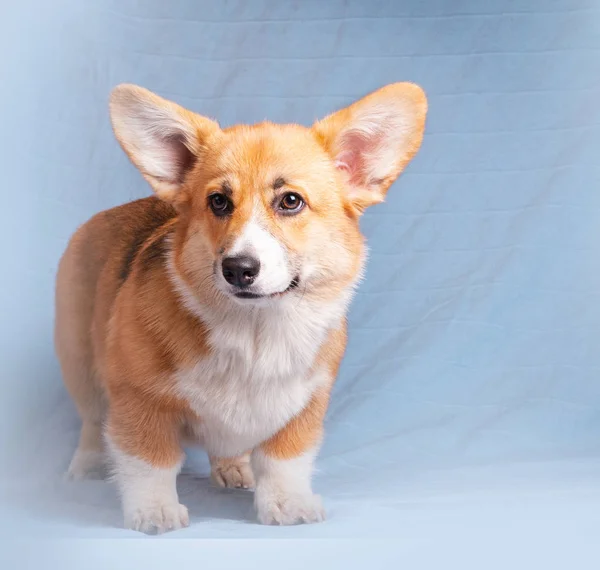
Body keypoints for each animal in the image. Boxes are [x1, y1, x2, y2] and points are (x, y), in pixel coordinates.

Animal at [52, 82, 426, 532]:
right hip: (79, 363)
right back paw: (87, 466)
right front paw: (154, 511)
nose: (238, 269)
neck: (255, 331)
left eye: (290, 201)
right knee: (92, 421)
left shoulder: (305, 404)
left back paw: (232, 467)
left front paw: (287, 503)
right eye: (218, 202)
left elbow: (285, 460)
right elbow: (151, 462)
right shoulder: (138, 399)